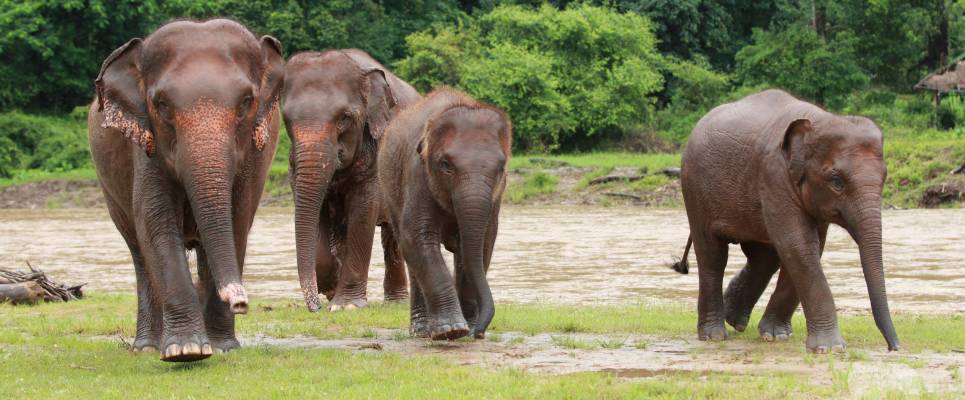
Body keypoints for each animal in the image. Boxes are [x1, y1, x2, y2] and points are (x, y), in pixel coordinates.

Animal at [87, 19, 284, 362]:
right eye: (162, 105)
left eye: (247, 102)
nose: (241, 302)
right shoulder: (147, 146)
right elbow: (155, 224)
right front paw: (186, 350)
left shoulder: (253, 158)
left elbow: (237, 221)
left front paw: (222, 347)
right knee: (138, 250)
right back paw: (147, 346)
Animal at [282, 49, 420, 312]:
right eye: (286, 120)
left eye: (344, 118)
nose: (314, 308)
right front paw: (331, 289)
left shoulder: (377, 148)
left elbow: (363, 208)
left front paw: (346, 305)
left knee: (393, 235)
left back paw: (396, 302)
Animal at [378, 87, 511, 340]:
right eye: (446, 165)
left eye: (501, 168)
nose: (479, 334)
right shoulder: (417, 173)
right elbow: (416, 238)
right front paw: (451, 330)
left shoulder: (496, 195)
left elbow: (482, 243)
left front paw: (467, 329)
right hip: (389, 192)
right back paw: (421, 330)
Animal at [671, 89, 899, 353]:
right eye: (836, 181)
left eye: (884, 177)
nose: (894, 347)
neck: (819, 119)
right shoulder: (774, 175)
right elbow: (799, 244)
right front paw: (829, 349)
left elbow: (807, 247)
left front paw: (776, 336)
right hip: (694, 188)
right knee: (713, 255)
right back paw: (714, 335)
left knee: (763, 257)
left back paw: (735, 320)